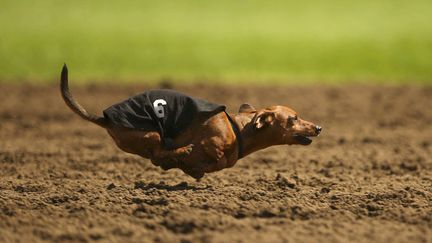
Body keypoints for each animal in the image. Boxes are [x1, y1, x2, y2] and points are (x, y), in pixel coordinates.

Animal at [61, 65, 320, 179]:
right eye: (294, 118)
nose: (318, 127)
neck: (237, 128)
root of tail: (105, 118)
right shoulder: (211, 144)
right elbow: (217, 161)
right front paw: (192, 165)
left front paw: (189, 166)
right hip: (151, 132)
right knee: (158, 153)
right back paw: (181, 152)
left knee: (158, 156)